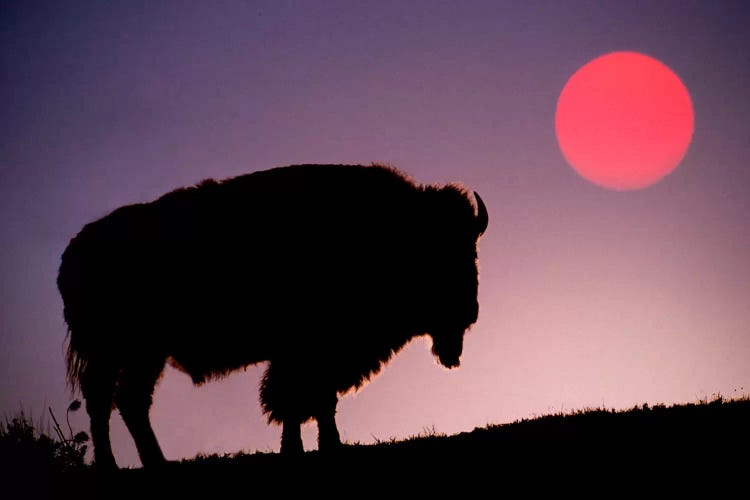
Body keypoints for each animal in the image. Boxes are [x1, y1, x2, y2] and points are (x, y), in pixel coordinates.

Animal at [55, 163, 488, 468]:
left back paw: (155, 462)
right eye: (443, 250)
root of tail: (73, 254)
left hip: (144, 355)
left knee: (127, 401)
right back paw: (116, 466)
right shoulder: (306, 352)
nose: (471, 312)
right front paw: (317, 447)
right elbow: (301, 399)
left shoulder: (309, 355)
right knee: (107, 402)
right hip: (122, 352)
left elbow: (308, 401)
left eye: (471, 248)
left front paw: (310, 447)